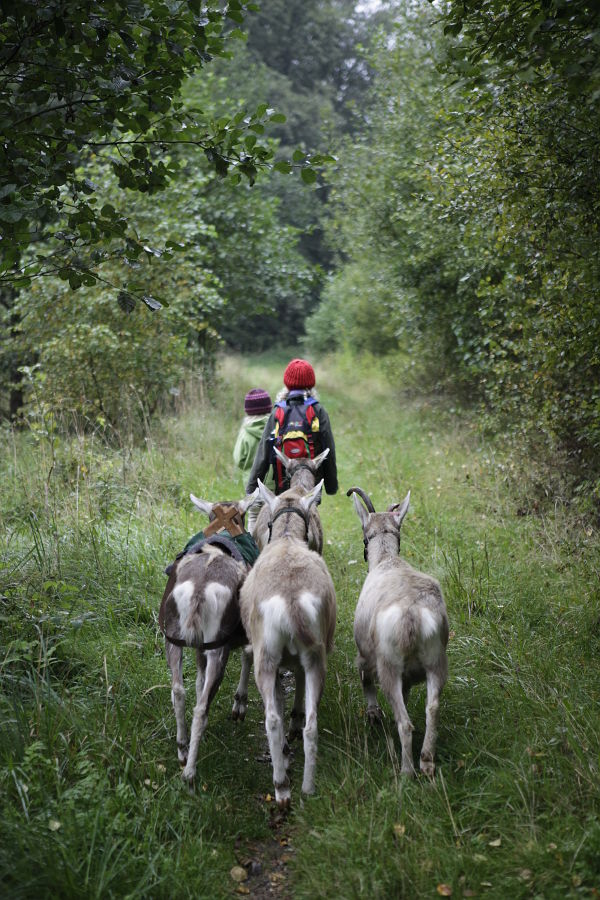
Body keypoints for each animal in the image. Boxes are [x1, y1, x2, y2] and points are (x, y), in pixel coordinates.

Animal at [239, 482, 336, 812]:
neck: (286, 539)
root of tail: (292, 600)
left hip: (267, 659)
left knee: (271, 719)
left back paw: (282, 789)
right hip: (316, 656)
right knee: (311, 724)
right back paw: (307, 788)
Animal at [346, 488, 450, 776]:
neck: (387, 561)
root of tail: (412, 614)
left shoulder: (365, 654)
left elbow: (364, 678)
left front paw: (373, 715)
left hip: (389, 667)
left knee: (405, 722)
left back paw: (406, 771)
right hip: (436, 661)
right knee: (432, 708)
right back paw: (426, 762)